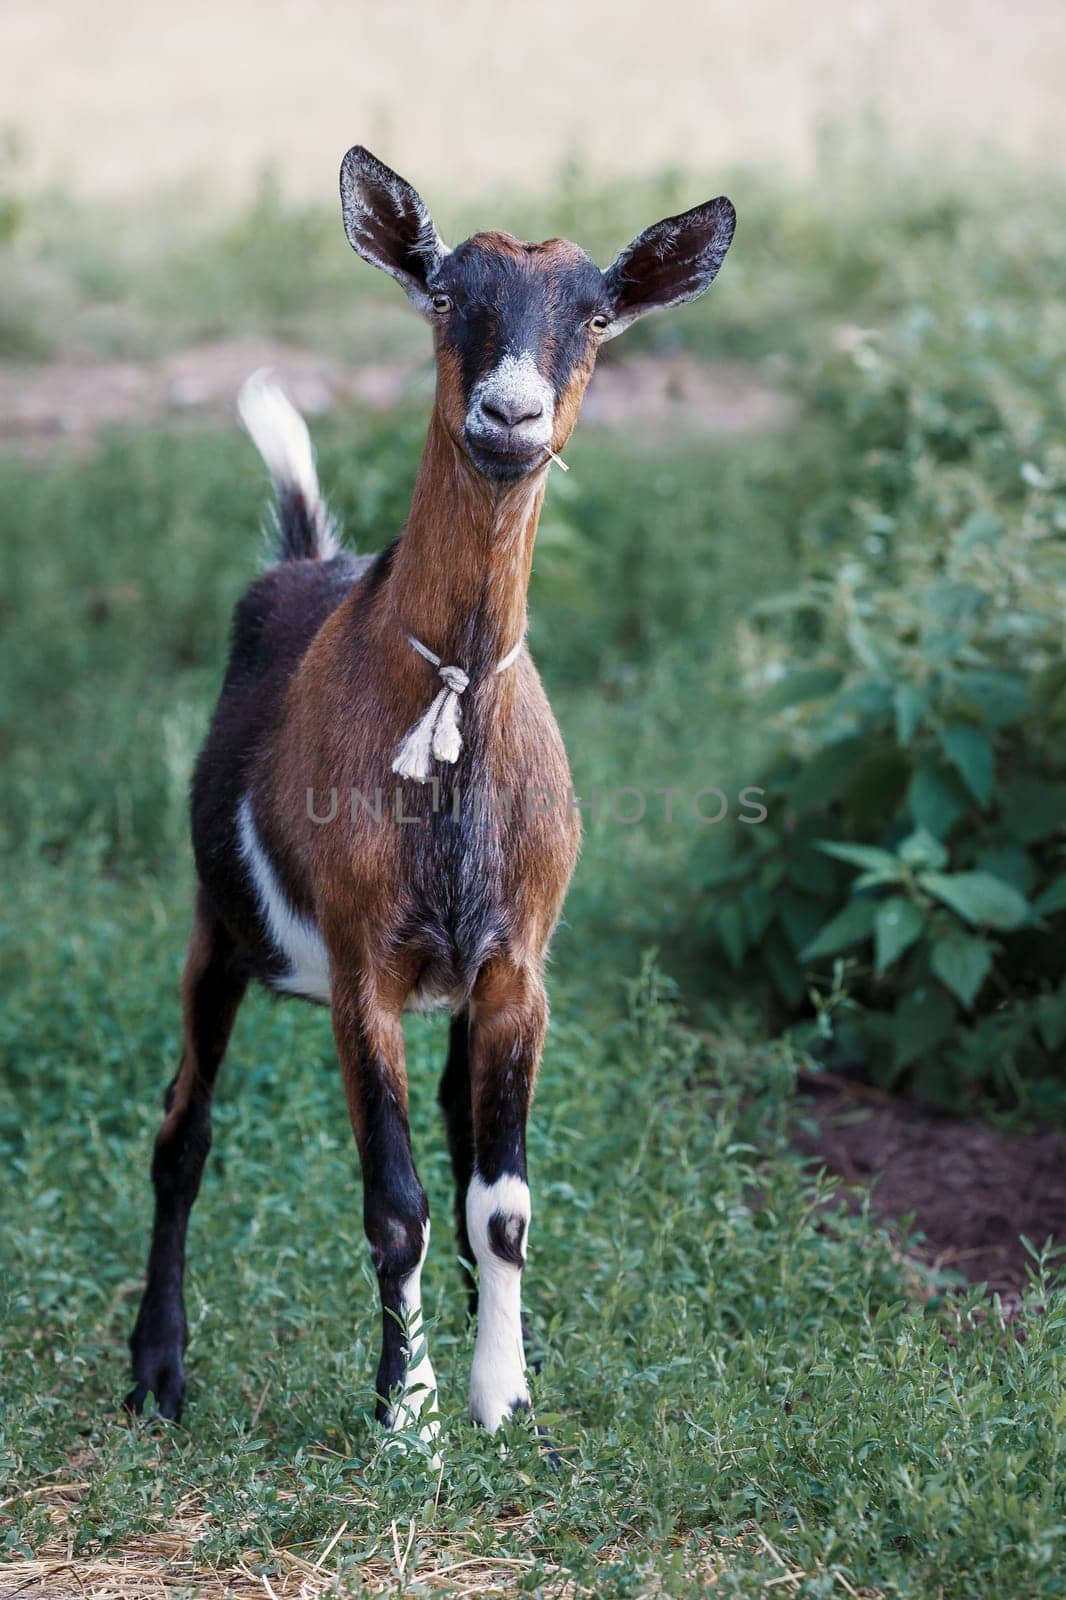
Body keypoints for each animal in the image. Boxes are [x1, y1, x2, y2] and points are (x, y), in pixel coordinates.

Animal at [126, 147, 729, 1452]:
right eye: (448, 297)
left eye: (595, 315)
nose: (509, 417)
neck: (447, 695)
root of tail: (304, 561)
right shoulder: (367, 969)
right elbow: (393, 1199)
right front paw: (406, 1411)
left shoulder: (516, 967)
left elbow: (497, 1198)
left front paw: (502, 1389)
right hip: (214, 926)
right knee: (182, 1130)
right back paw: (156, 1371)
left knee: (456, 1139)